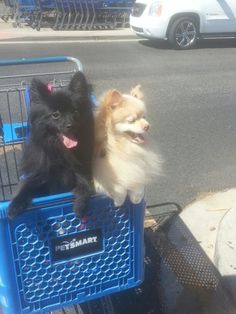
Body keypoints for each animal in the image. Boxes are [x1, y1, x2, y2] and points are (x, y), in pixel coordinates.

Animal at [8, 71, 95, 218]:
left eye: (75, 112)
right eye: (55, 115)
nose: (70, 125)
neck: (61, 150)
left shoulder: (83, 172)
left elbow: (86, 185)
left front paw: (80, 205)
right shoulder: (40, 175)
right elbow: (26, 185)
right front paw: (15, 205)